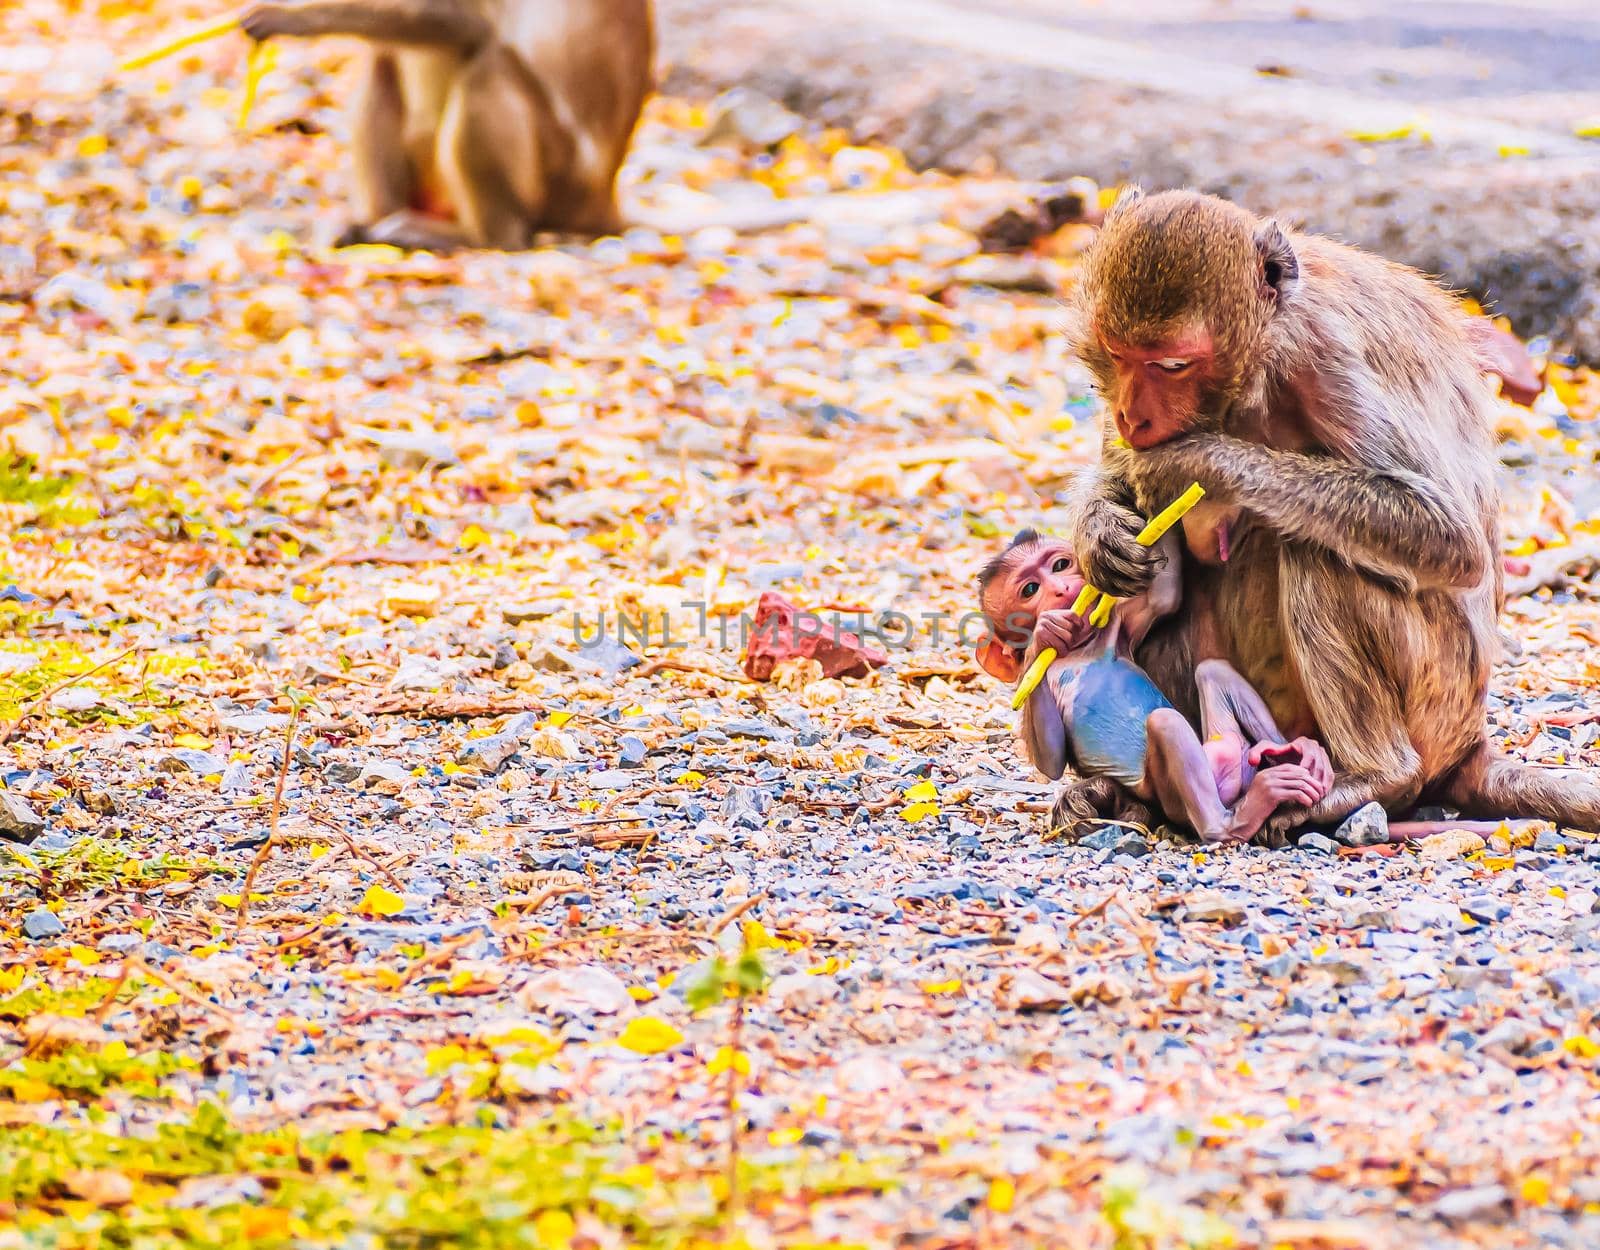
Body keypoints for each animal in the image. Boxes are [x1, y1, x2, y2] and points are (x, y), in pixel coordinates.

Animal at [972, 528, 1337, 838]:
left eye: (1061, 564)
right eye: (1030, 590)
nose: (1062, 588)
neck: (1080, 647)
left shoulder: (1119, 620)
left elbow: (1165, 596)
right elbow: (1051, 759)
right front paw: (1043, 634)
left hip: (1225, 748)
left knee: (1213, 670)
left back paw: (1293, 751)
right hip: (1172, 798)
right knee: (1165, 723)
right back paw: (1231, 822)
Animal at [1062, 188, 1600, 838]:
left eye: (1171, 365)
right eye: (1117, 354)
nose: (1132, 416)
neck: (1266, 352)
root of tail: (1470, 742)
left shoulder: (1329, 357)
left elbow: (1449, 534)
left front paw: (1192, 463)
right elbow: (1118, 472)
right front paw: (1100, 530)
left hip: (1438, 696)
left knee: (1320, 550)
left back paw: (1376, 777)